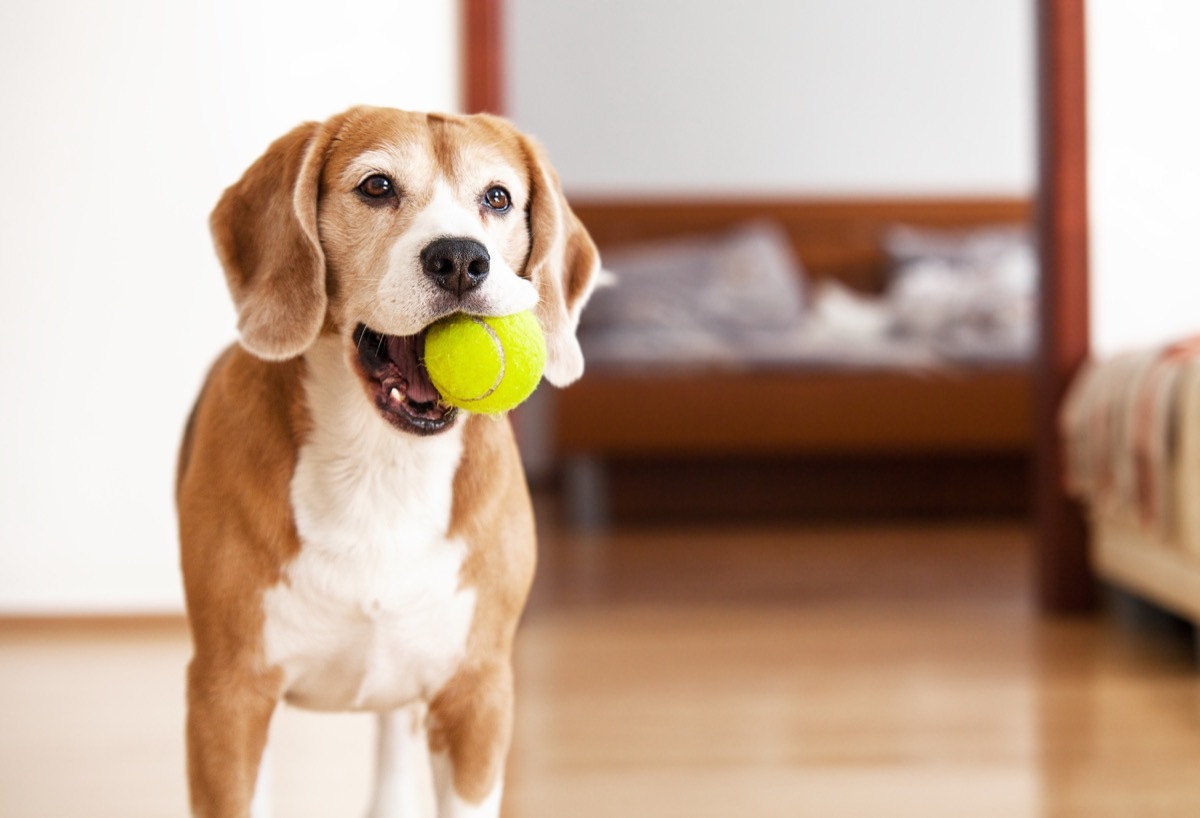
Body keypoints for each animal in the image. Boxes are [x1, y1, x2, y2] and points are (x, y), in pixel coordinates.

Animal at [175, 108, 600, 815]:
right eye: (376, 186)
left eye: (498, 198)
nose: (461, 258)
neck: (381, 462)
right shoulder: (226, 695)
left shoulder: (478, 696)